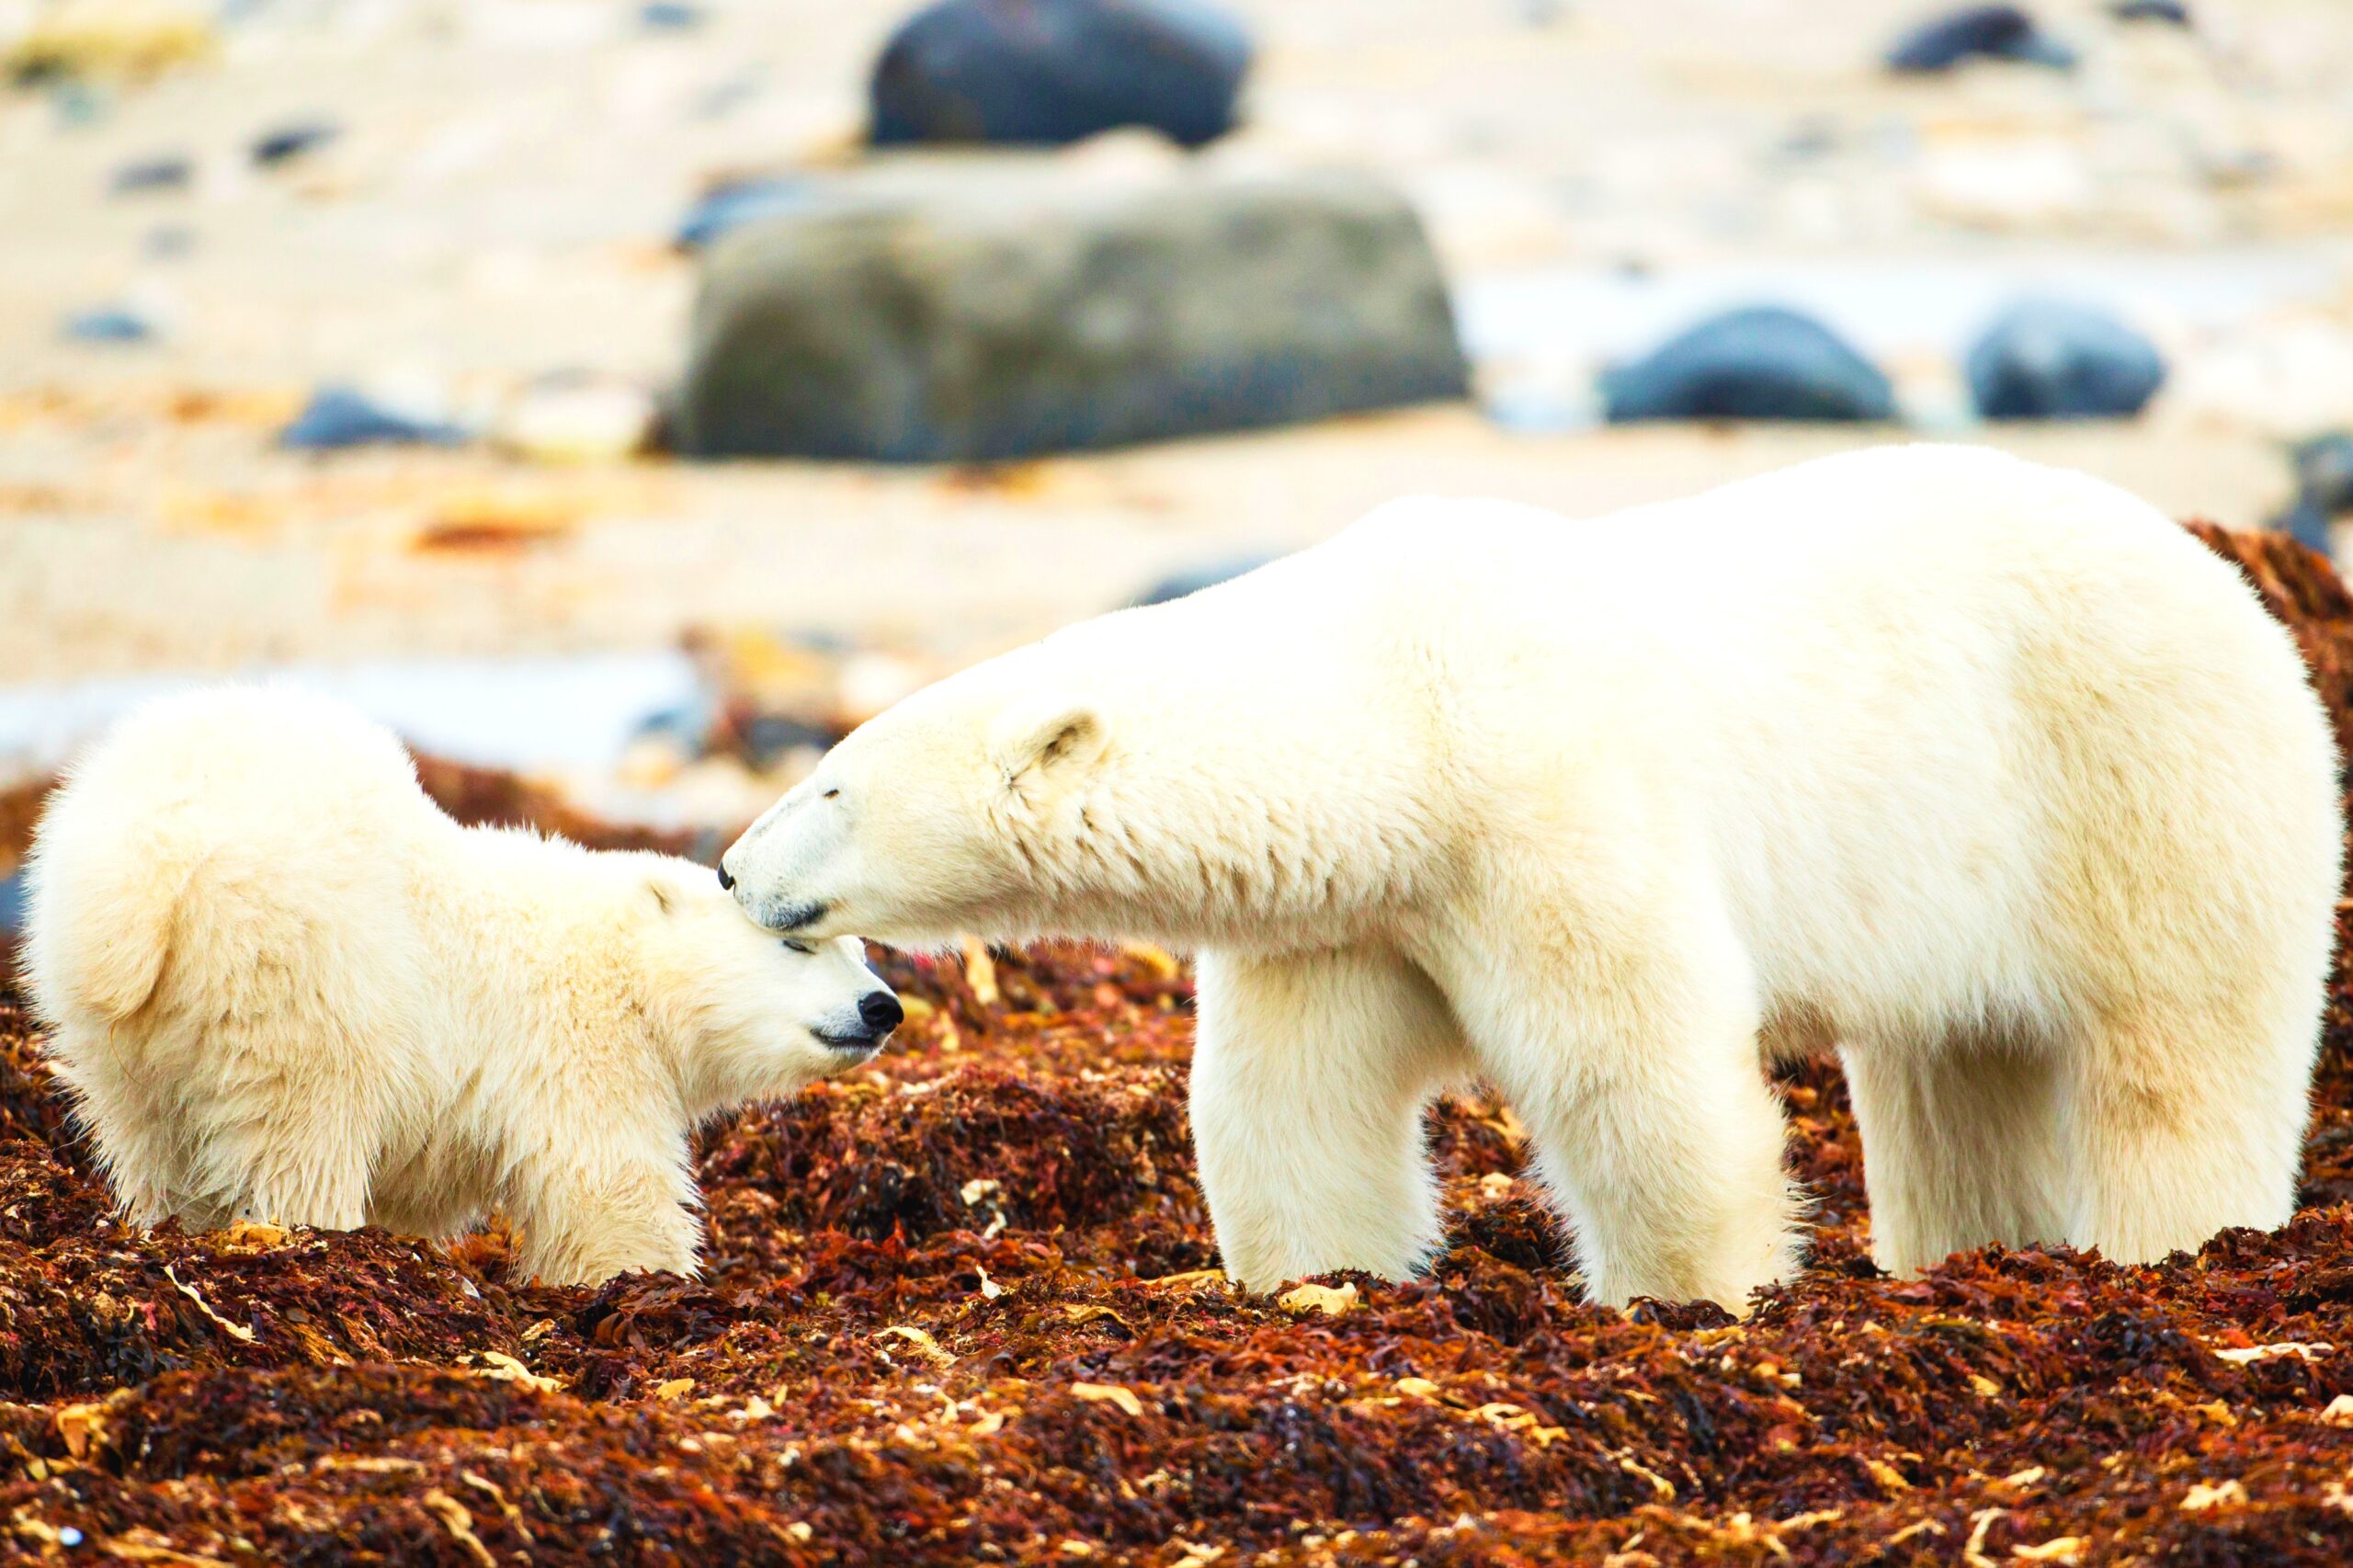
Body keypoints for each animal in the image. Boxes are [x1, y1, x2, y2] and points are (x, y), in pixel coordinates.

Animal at [724, 445, 2343, 1299]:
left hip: (2143, 787)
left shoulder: (1543, 798)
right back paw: (1962, 1253)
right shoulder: (1362, 905)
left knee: (2179, 1058)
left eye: (828, 780)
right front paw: (1324, 1280)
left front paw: (1690, 1296)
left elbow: (1638, 1067)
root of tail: (2249, 600)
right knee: (1958, 1069)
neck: (1394, 698)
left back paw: (2175, 1244)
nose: (735, 870)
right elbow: (1290, 1098)